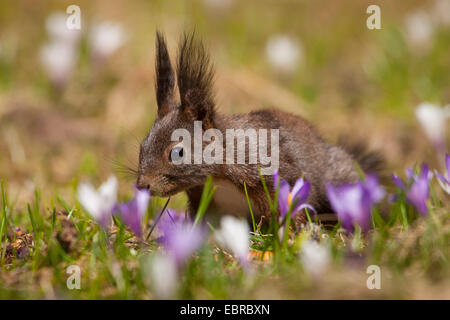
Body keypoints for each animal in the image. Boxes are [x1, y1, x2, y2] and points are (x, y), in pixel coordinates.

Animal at [137, 32, 384, 226]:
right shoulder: (203, 200)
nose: (142, 186)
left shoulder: (271, 173)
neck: (219, 175)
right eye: (142, 146)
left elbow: (290, 207)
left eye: (177, 152)